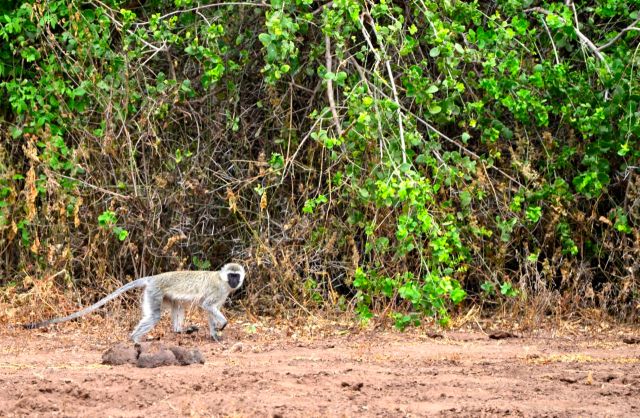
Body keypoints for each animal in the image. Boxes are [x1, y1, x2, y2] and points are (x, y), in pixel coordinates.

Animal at [22, 263, 245, 343]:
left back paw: (179, 331)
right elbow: (207, 306)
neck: (222, 280)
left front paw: (214, 335)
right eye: (231, 275)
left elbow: (209, 310)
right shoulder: (217, 291)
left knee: (177, 305)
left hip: (160, 295)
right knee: (154, 316)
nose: (235, 282)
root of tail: (152, 278)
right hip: (154, 293)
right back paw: (135, 339)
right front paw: (222, 325)